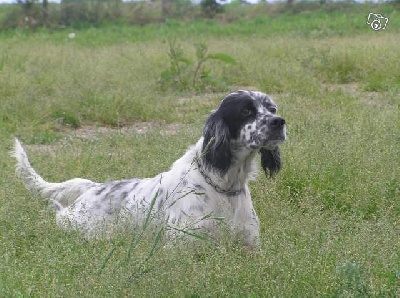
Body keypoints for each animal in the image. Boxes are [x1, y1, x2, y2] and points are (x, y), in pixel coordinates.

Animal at [13, 89, 288, 248]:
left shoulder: (250, 247)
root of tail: (94, 187)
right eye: (246, 111)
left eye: (272, 108)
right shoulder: (182, 248)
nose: (279, 122)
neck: (223, 185)